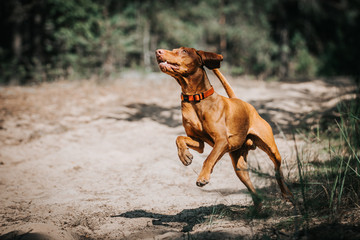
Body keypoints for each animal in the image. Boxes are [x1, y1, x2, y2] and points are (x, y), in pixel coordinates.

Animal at [155, 47, 292, 206]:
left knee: (277, 170)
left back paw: (286, 193)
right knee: (253, 189)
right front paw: (185, 156)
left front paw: (203, 177)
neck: (195, 99)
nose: (158, 51)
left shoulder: (221, 140)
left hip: (272, 149)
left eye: (183, 51)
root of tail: (240, 101)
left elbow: (209, 158)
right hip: (240, 167)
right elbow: (179, 138)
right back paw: (258, 207)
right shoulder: (198, 142)